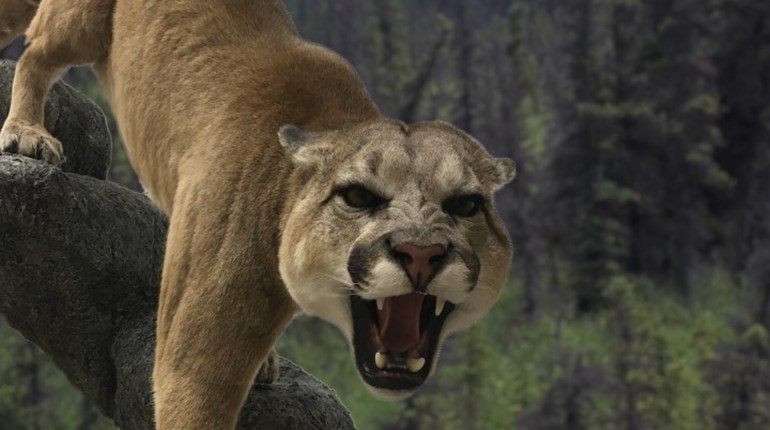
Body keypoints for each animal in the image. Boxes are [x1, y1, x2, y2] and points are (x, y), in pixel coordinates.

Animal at [0, 0, 515, 428]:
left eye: (465, 204)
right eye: (357, 196)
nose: (421, 252)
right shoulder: (198, 352)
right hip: (81, 21)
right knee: (35, 51)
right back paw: (27, 133)